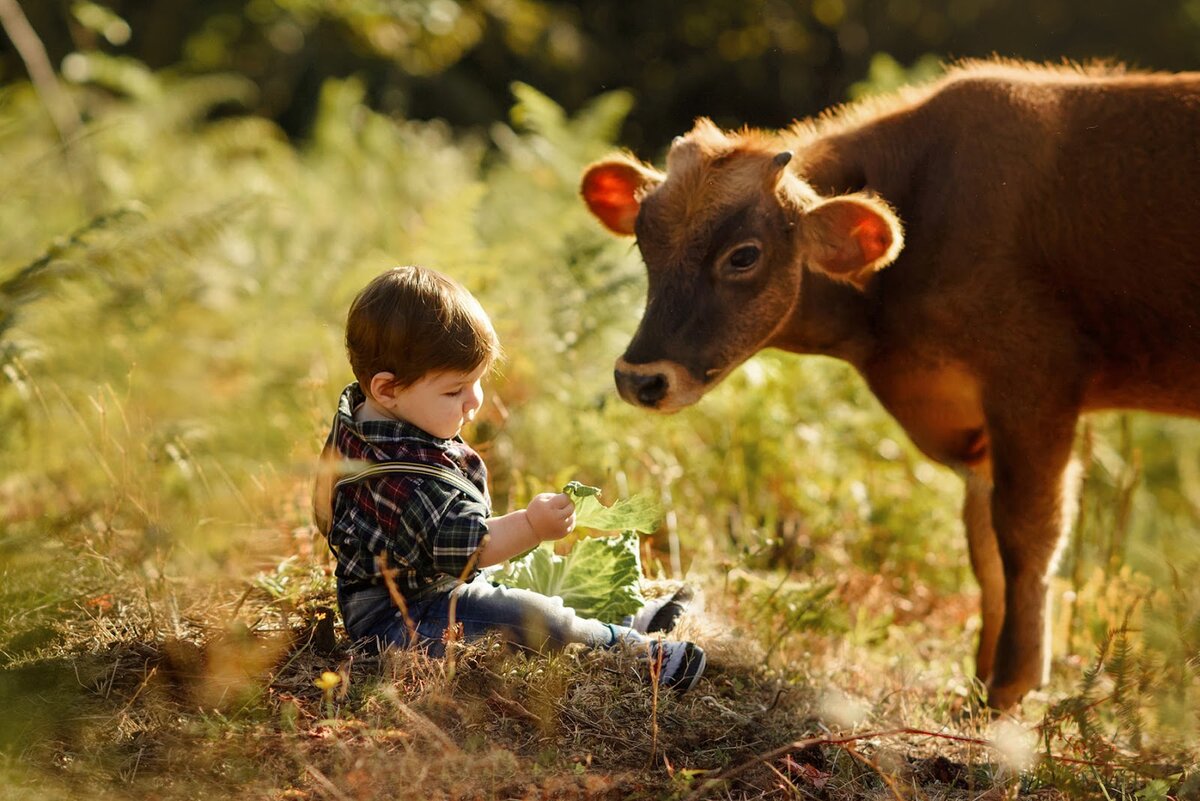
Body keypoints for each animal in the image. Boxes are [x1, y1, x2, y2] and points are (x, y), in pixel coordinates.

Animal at [578, 61, 1200, 705]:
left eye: (744, 256)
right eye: (644, 240)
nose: (639, 378)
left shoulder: (1035, 382)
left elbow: (1026, 537)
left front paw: (1009, 687)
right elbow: (985, 546)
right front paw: (978, 680)